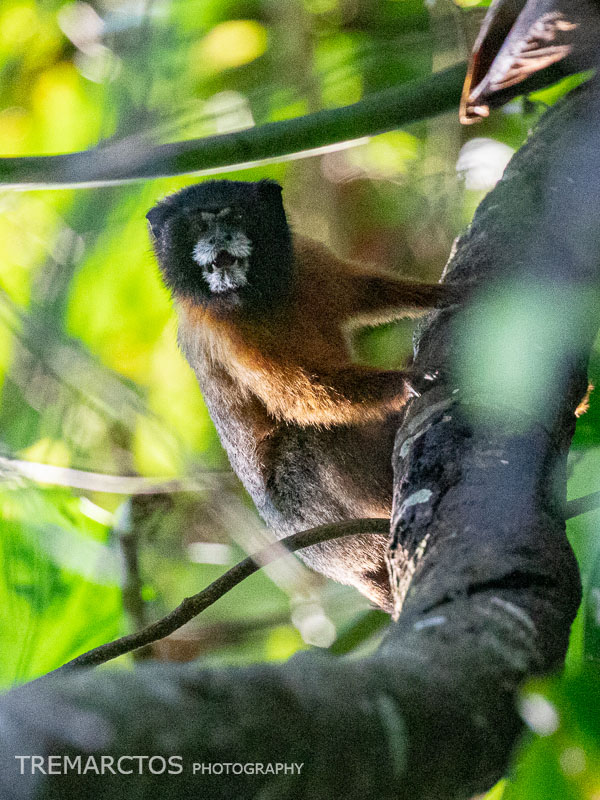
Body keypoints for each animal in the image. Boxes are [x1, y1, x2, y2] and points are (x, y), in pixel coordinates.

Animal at [148, 178, 462, 608]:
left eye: (234, 217)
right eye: (199, 228)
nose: (218, 239)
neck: (257, 298)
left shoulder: (306, 260)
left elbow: (364, 292)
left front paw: (440, 295)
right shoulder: (224, 333)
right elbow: (298, 393)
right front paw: (404, 382)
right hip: (325, 527)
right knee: (309, 440)